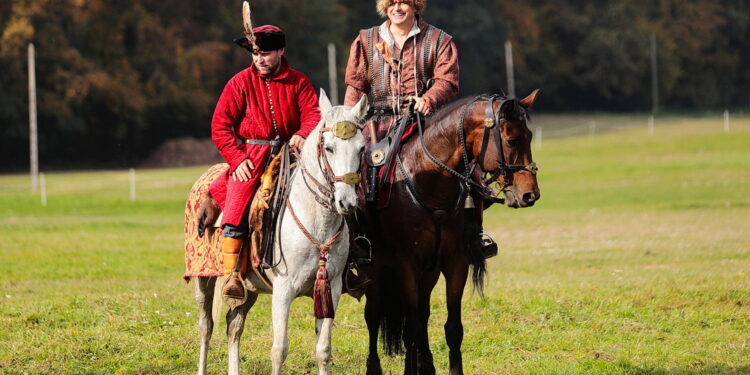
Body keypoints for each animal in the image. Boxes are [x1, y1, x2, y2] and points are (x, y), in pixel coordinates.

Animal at [194, 92, 370, 375]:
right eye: (329, 148)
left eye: (361, 148)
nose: (347, 202)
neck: (317, 222)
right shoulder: (283, 290)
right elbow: (279, 351)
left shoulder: (330, 289)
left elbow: (323, 350)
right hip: (202, 279)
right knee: (206, 326)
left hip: (248, 288)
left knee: (234, 325)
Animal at [362, 91, 540, 375]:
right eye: (512, 140)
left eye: (530, 136)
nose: (530, 195)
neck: (429, 179)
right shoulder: (406, 266)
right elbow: (409, 327)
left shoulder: (456, 263)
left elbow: (452, 328)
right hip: (375, 268)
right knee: (374, 315)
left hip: (430, 271)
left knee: (422, 313)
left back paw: (426, 364)